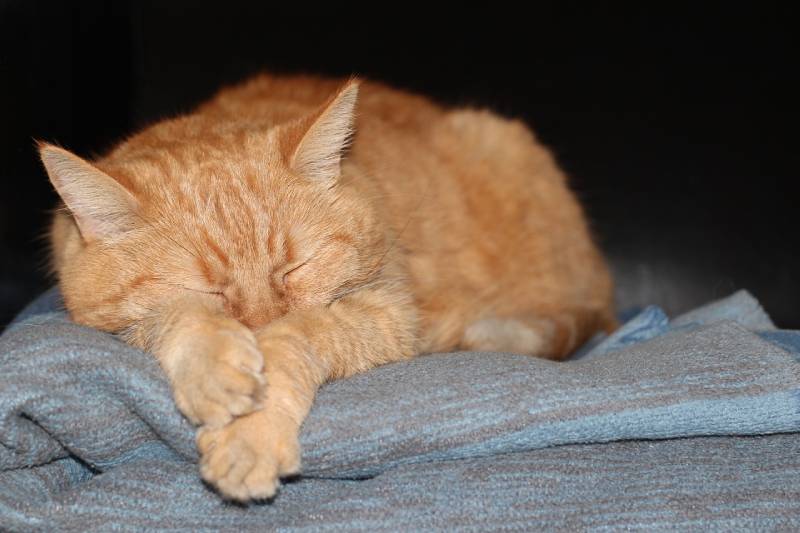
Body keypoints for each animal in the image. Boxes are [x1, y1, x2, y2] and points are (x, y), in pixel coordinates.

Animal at [39, 72, 620, 500]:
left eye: (295, 267)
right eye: (212, 290)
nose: (256, 328)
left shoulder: (388, 313)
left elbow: (301, 332)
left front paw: (252, 433)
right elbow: (173, 314)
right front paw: (216, 366)